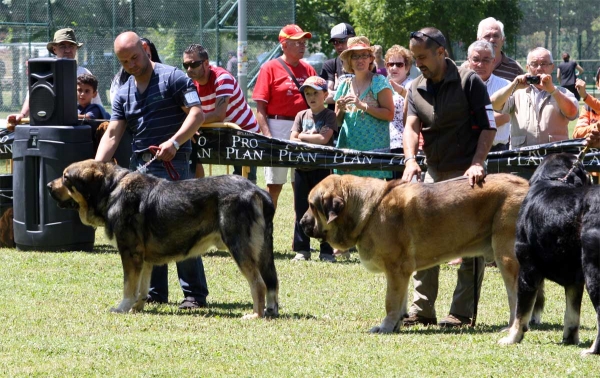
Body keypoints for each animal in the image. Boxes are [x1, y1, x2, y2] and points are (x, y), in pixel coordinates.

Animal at [47, 159, 278, 318]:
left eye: (66, 178)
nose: (48, 185)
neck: (111, 189)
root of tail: (257, 191)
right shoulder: (144, 260)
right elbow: (141, 288)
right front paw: (136, 308)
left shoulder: (130, 254)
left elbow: (128, 286)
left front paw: (122, 308)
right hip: (263, 251)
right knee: (272, 282)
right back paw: (270, 311)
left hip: (239, 247)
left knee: (258, 284)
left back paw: (255, 315)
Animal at [302, 173, 532, 332]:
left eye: (312, 205)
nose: (302, 222)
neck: (369, 209)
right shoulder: (400, 274)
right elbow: (401, 299)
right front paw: (396, 325)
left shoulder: (396, 269)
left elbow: (391, 301)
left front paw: (385, 327)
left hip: (506, 258)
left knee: (515, 296)